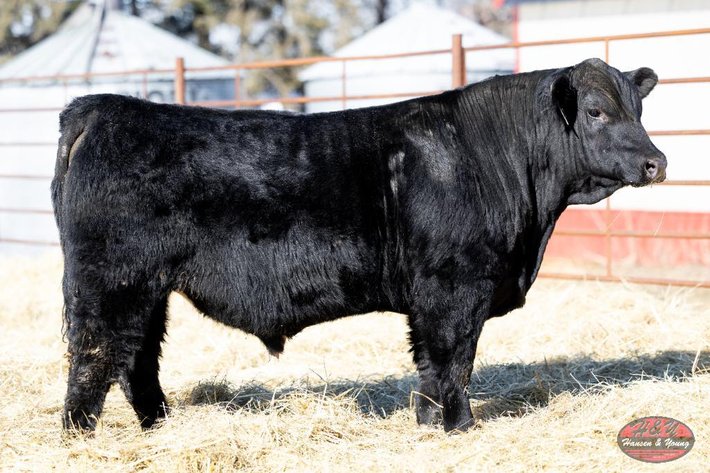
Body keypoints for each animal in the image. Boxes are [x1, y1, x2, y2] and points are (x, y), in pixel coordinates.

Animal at [52, 58, 666, 434]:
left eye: (638, 109)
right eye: (596, 112)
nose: (656, 163)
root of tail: (105, 106)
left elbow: (433, 366)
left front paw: (431, 425)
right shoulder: (454, 288)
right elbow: (453, 360)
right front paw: (459, 427)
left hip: (147, 289)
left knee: (136, 358)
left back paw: (158, 426)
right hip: (111, 281)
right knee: (94, 357)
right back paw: (81, 435)